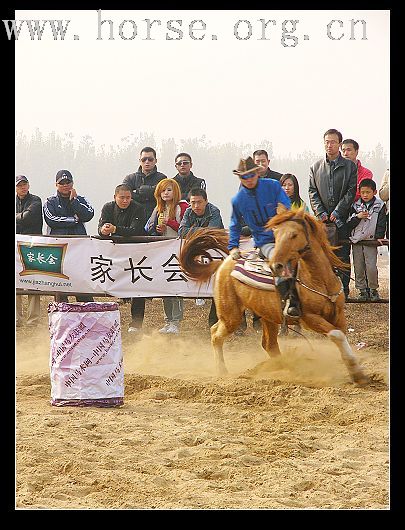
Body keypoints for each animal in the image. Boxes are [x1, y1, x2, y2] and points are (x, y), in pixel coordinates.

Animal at [178, 203, 368, 384]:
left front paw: (354, 370)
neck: (319, 280)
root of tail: (223, 263)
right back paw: (222, 371)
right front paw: (357, 373)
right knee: (216, 334)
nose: (276, 265)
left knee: (269, 345)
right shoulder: (310, 318)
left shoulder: (338, 314)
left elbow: (341, 336)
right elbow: (337, 335)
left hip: (266, 316)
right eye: (275, 234)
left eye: (294, 234)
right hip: (231, 315)